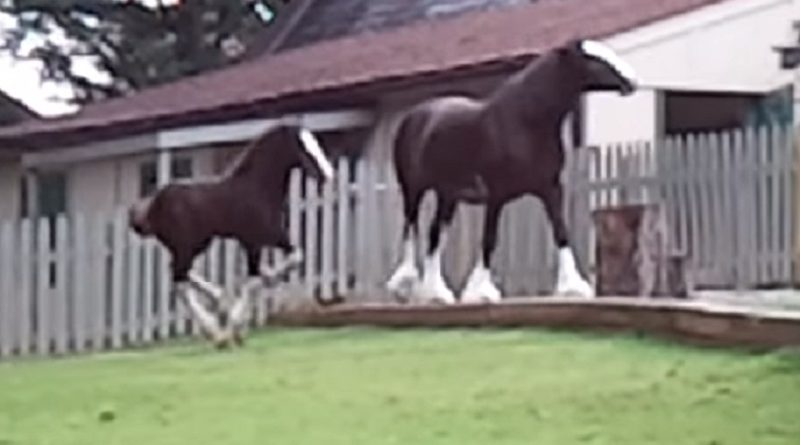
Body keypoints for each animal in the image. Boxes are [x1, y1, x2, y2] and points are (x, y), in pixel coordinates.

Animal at [129, 122, 334, 346]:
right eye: (301, 145)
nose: (327, 174)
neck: (257, 189)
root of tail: (152, 208)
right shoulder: (254, 242)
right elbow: (253, 280)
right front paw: (236, 328)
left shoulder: (274, 236)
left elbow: (295, 256)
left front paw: (269, 277)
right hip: (186, 247)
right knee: (179, 282)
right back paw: (215, 334)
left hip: (196, 244)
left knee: (180, 273)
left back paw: (219, 302)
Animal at [384, 40, 640, 304]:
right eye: (593, 59)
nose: (633, 81)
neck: (525, 121)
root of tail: (415, 115)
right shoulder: (496, 195)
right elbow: (489, 239)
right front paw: (481, 292)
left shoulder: (550, 188)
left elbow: (561, 231)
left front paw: (573, 287)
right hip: (413, 190)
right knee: (410, 228)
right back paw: (404, 285)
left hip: (448, 195)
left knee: (436, 234)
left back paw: (437, 294)